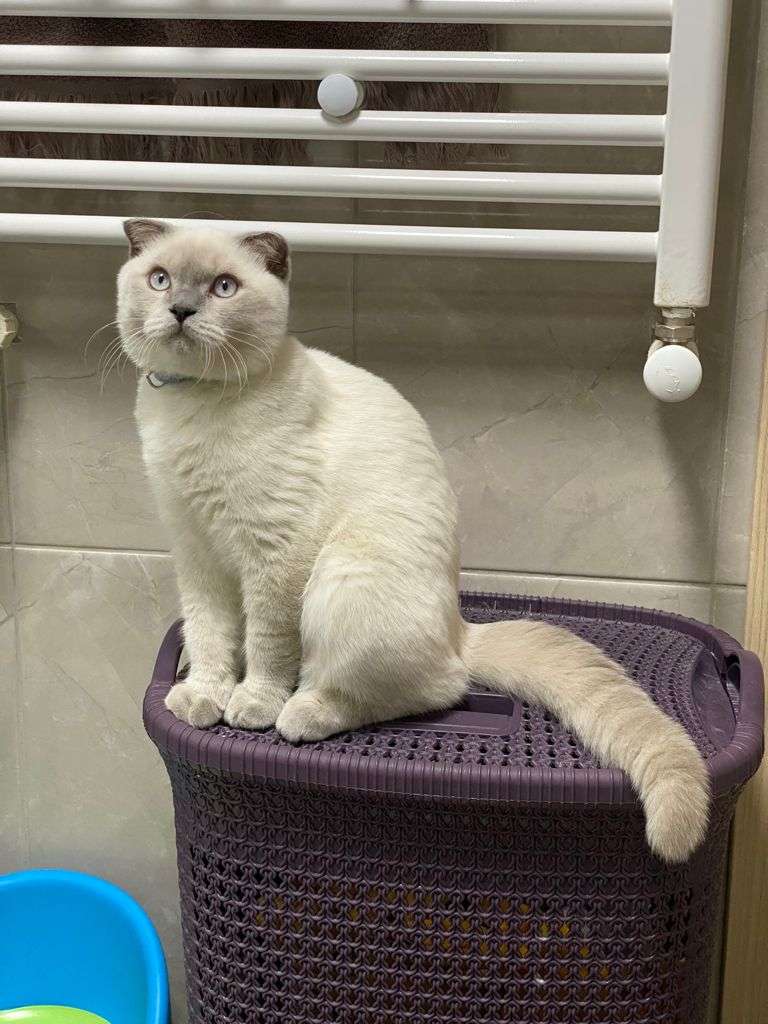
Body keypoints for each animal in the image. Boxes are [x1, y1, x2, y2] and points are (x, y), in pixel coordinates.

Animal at [117, 218, 709, 863]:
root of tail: (460, 631)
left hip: (341, 580)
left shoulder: (273, 553)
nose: (180, 309)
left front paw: (250, 706)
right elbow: (209, 639)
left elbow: (269, 647)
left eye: (223, 287)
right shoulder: (196, 555)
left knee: (431, 688)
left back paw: (302, 712)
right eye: (159, 279)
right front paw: (202, 698)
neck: (191, 409)